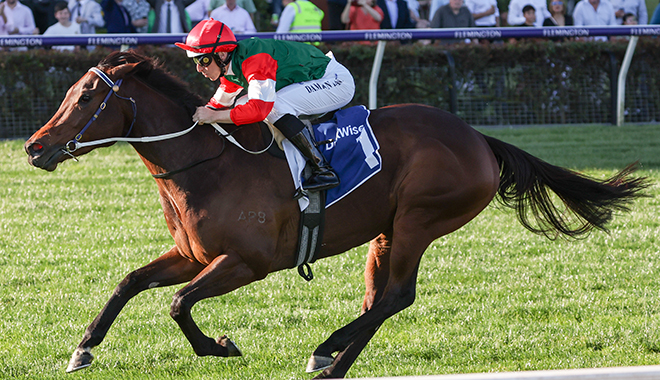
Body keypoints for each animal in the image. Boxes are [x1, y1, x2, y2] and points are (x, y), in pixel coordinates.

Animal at [24, 49, 644, 378]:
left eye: (85, 98)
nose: (33, 147)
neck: (210, 165)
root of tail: (478, 139)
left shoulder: (247, 263)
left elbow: (178, 304)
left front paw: (218, 346)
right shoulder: (192, 253)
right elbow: (131, 282)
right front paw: (83, 348)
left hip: (420, 219)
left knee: (396, 297)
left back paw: (326, 349)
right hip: (386, 231)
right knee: (379, 300)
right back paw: (336, 359)